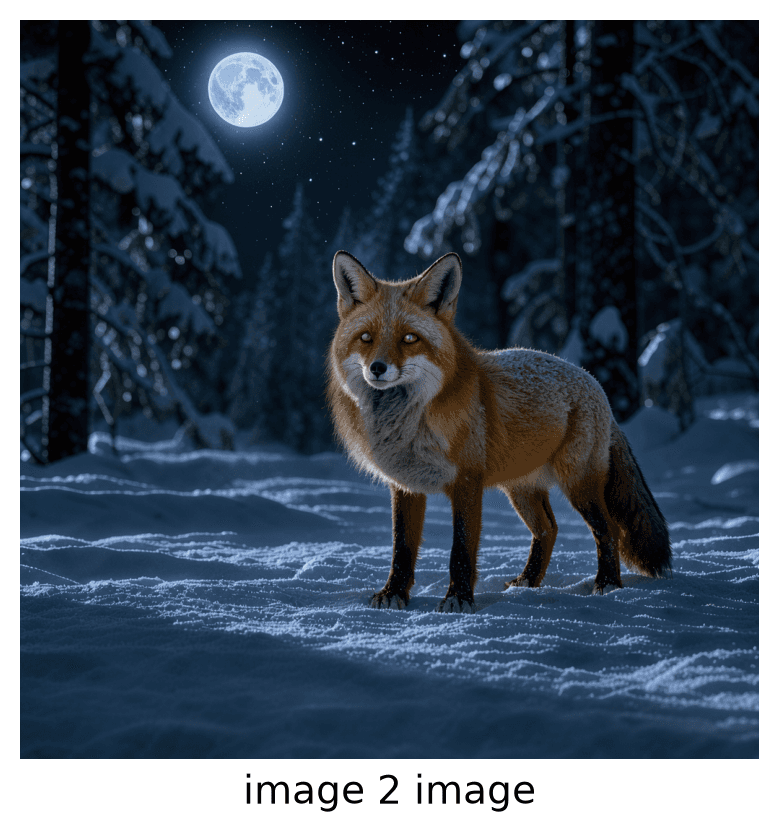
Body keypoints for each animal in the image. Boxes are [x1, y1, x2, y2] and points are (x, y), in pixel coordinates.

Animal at [326, 250, 672, 613]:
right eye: (366, 337)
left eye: (409, 339)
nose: (377, 368)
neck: (407, 423)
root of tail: (593, 382)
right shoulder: (405, 486)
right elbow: (402, 550)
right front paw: (394, 593)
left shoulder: (467, 481)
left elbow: (461, 550)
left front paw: (459, 598)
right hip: (521, 490)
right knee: (548, 529)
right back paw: (528, 582)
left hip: (579, 484)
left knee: (609, 531)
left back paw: (608, 584)